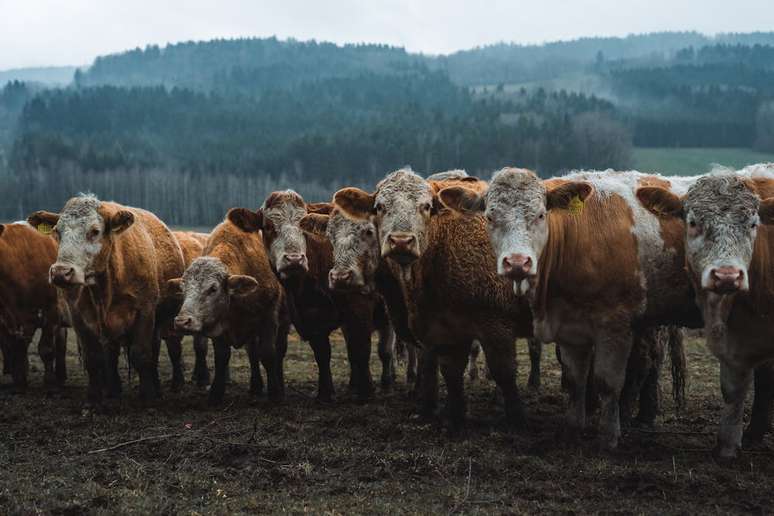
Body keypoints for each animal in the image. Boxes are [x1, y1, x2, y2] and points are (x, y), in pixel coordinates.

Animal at [0, 222, 67, 391]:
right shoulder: (8, 318)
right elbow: (15, 346)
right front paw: (19, 380)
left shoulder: (52, 309)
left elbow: (46, 349)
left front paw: (49, 382)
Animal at [28, 195, 185, 407]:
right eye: (57, 231)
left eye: (95, 231)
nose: (61, 272)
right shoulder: (79, 318)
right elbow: (94, 358)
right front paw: (94, 400)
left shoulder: (145, 312)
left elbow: (142, 354)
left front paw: (147, 396)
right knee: (110, 353)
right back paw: (113, 390)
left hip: (158, 322)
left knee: (153, 349)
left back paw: (156, 388)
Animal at [228, 191, 399, 403]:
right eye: (268, 227)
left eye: (303, 226)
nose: (294, 259)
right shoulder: (311, 316)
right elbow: (323, 353)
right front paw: (325, 393)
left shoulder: (359, 305)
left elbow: (361, 348)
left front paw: (366, 392)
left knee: (386, 349)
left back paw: (387, 382)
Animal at [333, 169, 534, 432]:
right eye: (379, 207)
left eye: (426, 206)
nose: (401, 241)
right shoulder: (442, 327)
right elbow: (449, 370)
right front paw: (454, 417)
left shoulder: (495, 324)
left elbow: (504, 371)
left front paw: (518, 419)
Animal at [438, 168, 703, 448]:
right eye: (490, 216)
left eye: (540, 214)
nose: (517, 263)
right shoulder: (569, 326)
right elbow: (576, 380)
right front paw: (572, 431)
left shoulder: (615, 324)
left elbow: (608, 382)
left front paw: (608, 437)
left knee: (646, 361)